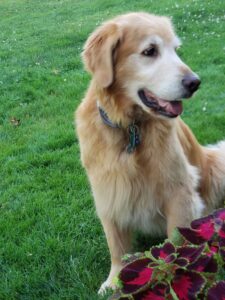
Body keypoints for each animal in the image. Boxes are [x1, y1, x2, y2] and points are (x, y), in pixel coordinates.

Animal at [75, 12, 225, 292]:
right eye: (150, 51)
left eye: (176, 50)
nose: (195, 83)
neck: (130, 128)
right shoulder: (108, 191)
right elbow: (116, 246)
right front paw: (114, 280)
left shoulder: (179, 191)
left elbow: (176, 243)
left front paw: (172, 278)